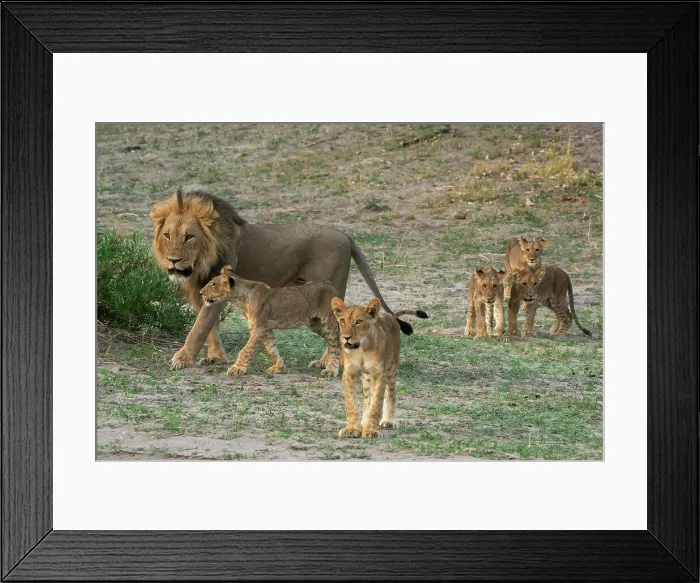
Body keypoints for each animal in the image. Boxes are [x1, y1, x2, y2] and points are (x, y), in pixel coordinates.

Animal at [199, 266, 341, 377]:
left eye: (213, 284)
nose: (200, 292)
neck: (242, 299)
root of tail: (331, 285)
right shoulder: (265, 329)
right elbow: (271, 348)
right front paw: (278, 367)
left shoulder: (258, 328)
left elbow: (246, 350)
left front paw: (237, 368)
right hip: (316, 325)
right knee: (330, 343)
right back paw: (323, 364)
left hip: (329, 323)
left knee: (337, 344)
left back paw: (331, 370)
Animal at [330, 297, 428, 438]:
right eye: (343, 321)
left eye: (359, 321)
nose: (346, 337)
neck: (361, 349)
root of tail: (390, 315)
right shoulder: (349, 373)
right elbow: (351, 403)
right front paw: (352, 429)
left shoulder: (379, 374)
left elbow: (376, 404)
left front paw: (371, 430)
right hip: (367, 377)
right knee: (367, 399)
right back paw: (364, 421)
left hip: (392, 368)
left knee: (391, 394)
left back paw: (388, 421)